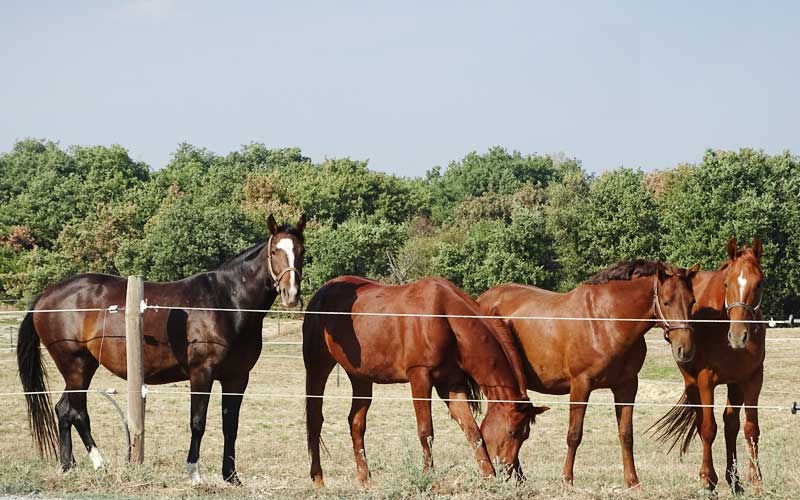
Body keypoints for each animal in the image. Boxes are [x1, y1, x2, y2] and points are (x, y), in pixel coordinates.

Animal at [16, 214, 306, 485]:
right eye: (274, 251)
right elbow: (198, 422)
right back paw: (99, 463)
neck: (227, 303)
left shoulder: (237, 378)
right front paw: (194, 474)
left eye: (301, 251)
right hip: (75, 366)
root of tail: (46, 295)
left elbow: (230, 426)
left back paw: (67, 466)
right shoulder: (201, 374)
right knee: (77, 412)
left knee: (63, 410)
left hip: (82, 367)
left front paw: (231, 476)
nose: (291, 295)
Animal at [302, 276, 548, 486]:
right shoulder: (419, 377)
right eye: (512, 432)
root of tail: (322, 292)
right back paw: (318, 480)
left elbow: (472, 430)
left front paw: (488, 476)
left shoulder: (451, 385)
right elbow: (426, 431)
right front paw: (429, 476)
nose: (508, 470)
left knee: (356, 423)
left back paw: (365, 479)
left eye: (525, 435)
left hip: (361, 377)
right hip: (317, 367)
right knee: (315, 420)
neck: (445, 318)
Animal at [477, 260, 699, 488]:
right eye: (666, 302)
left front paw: (633, 482)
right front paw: (567, 479)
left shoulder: (627, 386)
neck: (607, 321)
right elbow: (574, 434)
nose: (685, 349)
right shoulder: (581, 385)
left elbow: (626, 434)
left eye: (692, 301)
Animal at [650, 238, 765, 492]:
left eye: (759, 283)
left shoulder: (752, 379)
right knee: (701, 422)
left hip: (734, 385)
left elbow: (751, 429)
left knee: (730, 424)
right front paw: (708, 479)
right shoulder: (705, 380)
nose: (739, 336)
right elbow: (708, 428)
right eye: (727, 283)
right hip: (692, 383)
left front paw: (756, 480)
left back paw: (735, 481)